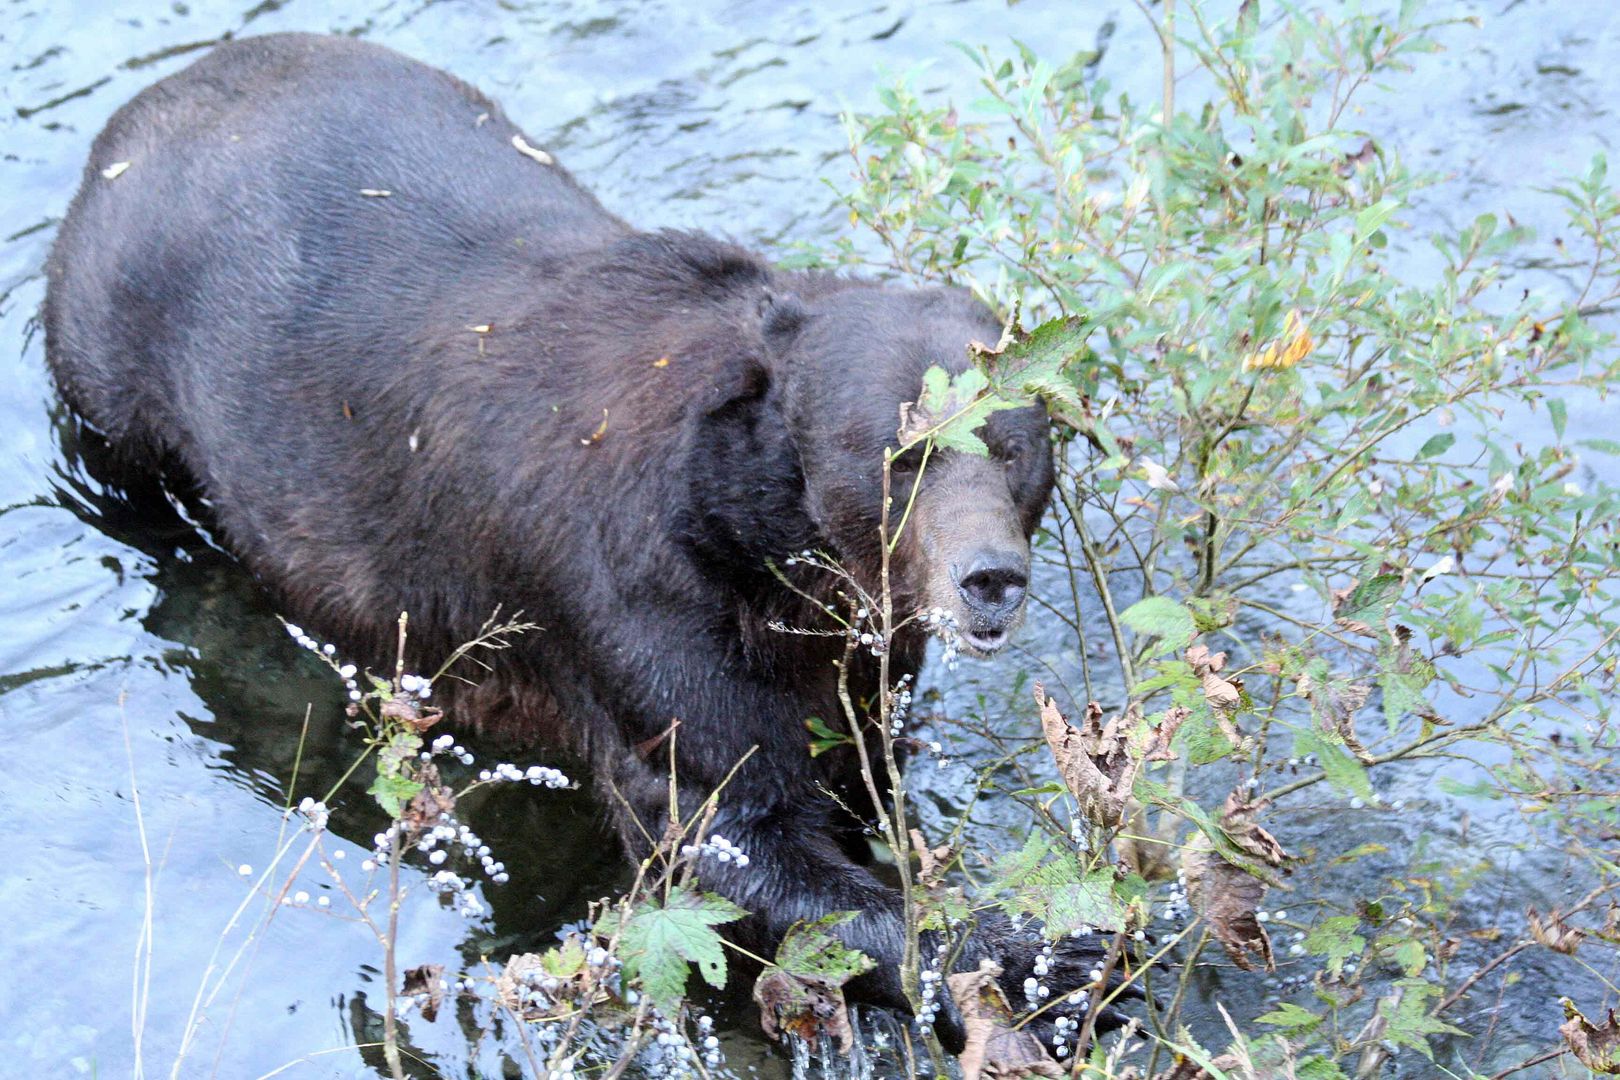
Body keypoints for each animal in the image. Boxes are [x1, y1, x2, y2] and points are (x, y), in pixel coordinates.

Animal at [47, 31, 1114, 1049]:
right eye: (900, 452)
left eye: (1017, 445)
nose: (988, 578)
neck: (762, 544)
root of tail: (148, 107)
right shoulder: (633, 607)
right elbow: (722, 834)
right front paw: (1048, 955)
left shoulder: (844, 641)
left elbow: (849, 757)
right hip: (121, 366)